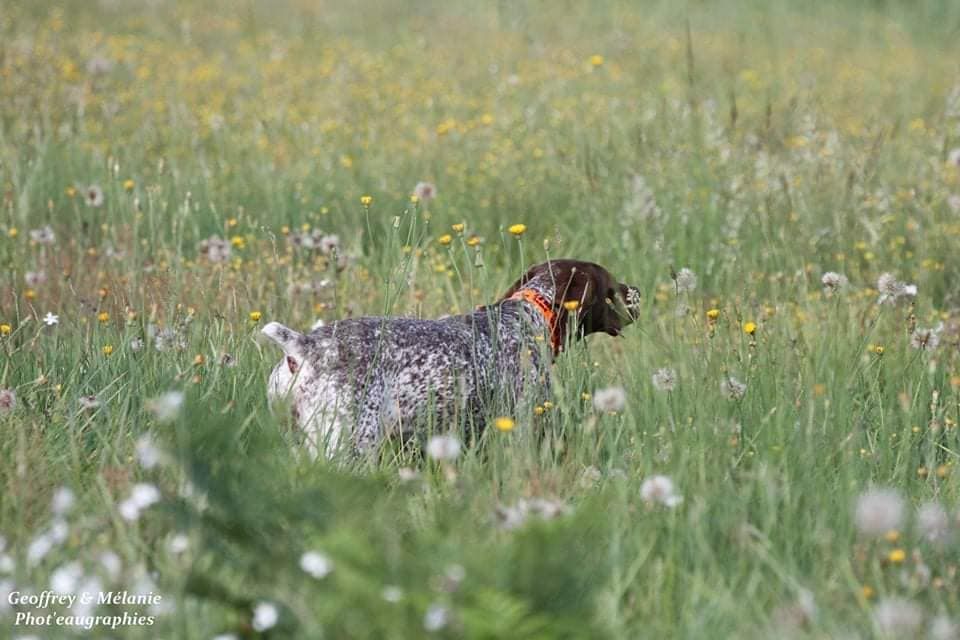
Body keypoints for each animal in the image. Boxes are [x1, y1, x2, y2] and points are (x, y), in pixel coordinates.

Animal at [260, 258, 644, 458]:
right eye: (611, 287)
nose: (637, 290)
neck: (529, 313)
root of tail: (303, 347)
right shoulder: (523, 424)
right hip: (349, 445)